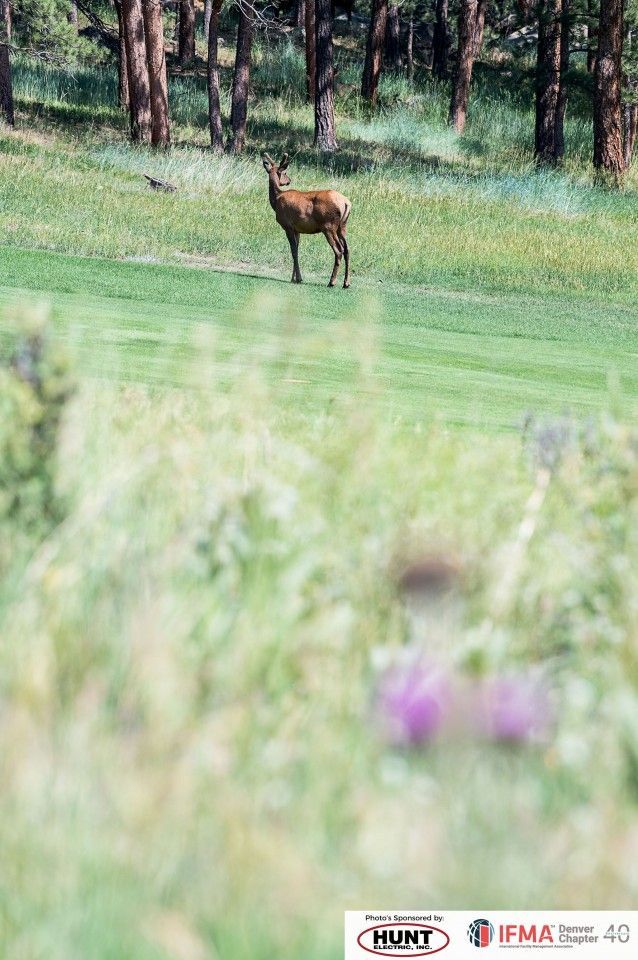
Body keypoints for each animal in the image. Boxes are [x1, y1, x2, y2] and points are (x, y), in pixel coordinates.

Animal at [261, 152, 352, 289]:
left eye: (285, 172)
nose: (289, 180)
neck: (276, 200)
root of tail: (346, 203)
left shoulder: (287, 225)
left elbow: (293, 250)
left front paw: (298, 278)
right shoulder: (297, 229)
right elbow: (297, 250)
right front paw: (294, 278)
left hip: (329, 226)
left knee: (339, 250)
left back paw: (332, 282)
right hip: (342, 226)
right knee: (347, 249)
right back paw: (346, 283)